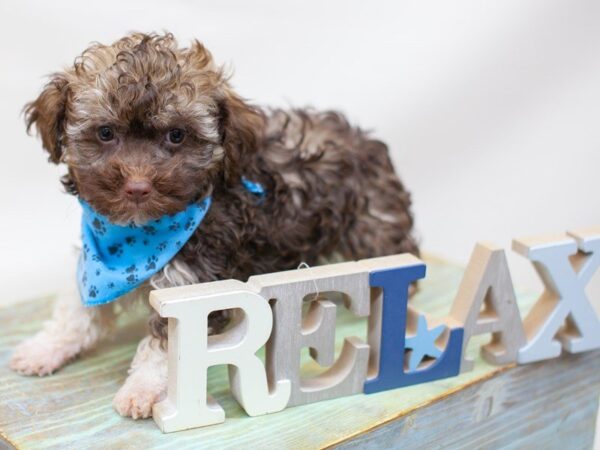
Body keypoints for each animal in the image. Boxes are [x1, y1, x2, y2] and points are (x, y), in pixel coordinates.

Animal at [11, 30, 420, 418]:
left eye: (177, 135)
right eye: (106, 133)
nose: (137, 187)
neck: (137, 237)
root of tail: (362, 139)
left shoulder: (194, 282)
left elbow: (165, 345)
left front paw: (141, 389)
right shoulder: (96, 266)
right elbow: (78, 310)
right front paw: (45, 348)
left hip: (374, 224)